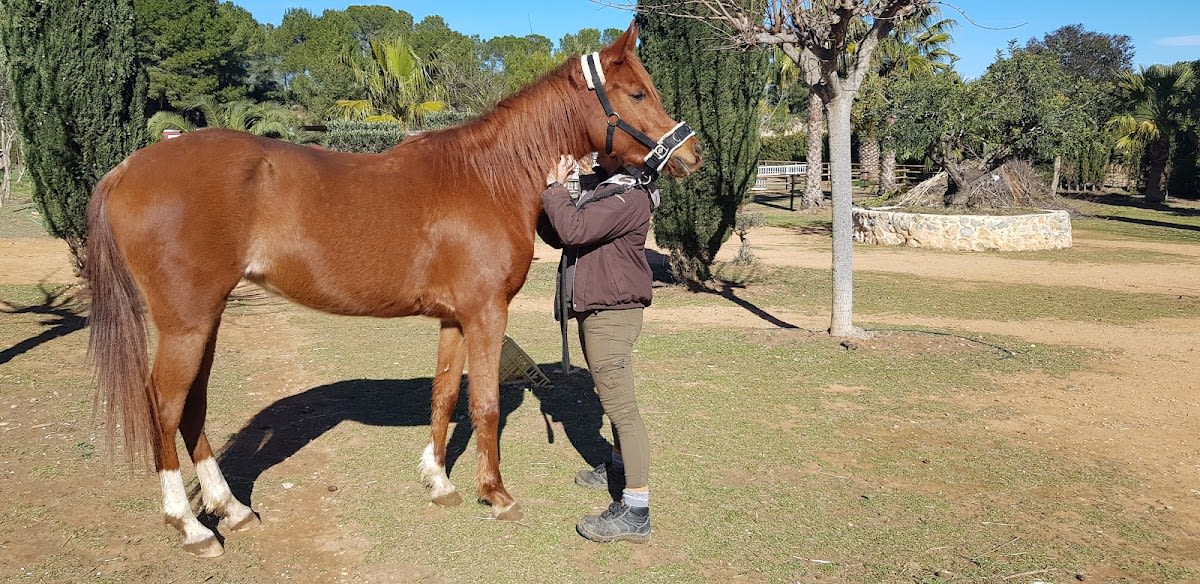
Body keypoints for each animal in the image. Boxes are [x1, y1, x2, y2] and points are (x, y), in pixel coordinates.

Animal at [84, 21, 701, 557]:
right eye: (637, 93)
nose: (691, 155)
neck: (487, 177)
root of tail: (128, 168)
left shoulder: (455, 318)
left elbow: (445, 395)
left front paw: (440, 483)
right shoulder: (486, 314)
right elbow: (484, 404)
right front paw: (497, 495)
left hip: (205, 320)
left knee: (193, 407)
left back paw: (231, 509)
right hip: (185, 323)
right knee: (165, 407)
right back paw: (191, 528)